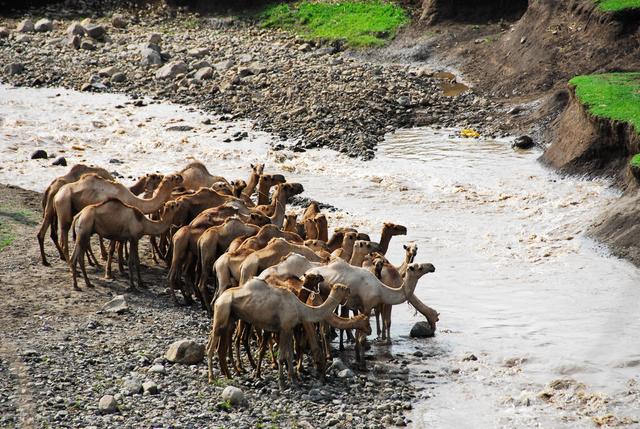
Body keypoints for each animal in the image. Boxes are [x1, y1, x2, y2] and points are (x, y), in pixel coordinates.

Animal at [52, 172, 184, 262]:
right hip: (64, 204)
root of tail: (56, 195)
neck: (133, 200)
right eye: (174, 177)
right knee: (64, 235)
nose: (181, 176)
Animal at [209, 278, 350, 384]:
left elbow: (289, 354)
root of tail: (219, 298)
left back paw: (229, 375)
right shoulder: (285, 327)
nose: (324, 379)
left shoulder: (287, 328)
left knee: (221, 347)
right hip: (222, 310)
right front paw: (285, 381)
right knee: (211, 346)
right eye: (343, 288)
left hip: (230, 317)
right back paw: (212, 378)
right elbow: (284, 355)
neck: (300, 308)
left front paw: (293, 378)